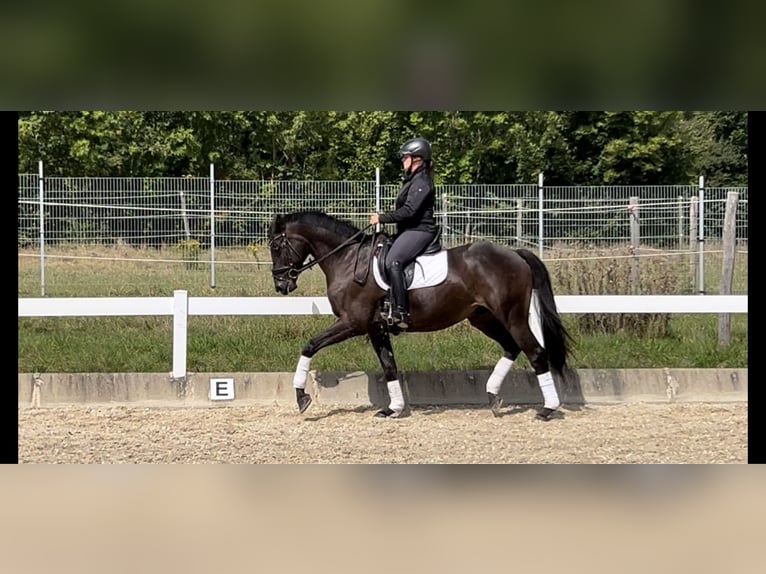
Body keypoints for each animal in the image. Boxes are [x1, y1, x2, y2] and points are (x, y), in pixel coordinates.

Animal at [268, 209, 572, 420]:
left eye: (276, 246)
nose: (281, 285)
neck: (348, 259)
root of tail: (516, 254)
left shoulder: (352, 323)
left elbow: (309, 346)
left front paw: (301, 397)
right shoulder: (375, 327)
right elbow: (389, 366)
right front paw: (393, 408)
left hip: (513, 316)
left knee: (536, 352)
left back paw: (547, 409)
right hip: (483, 318)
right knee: (511, 347)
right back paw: (493, 396)